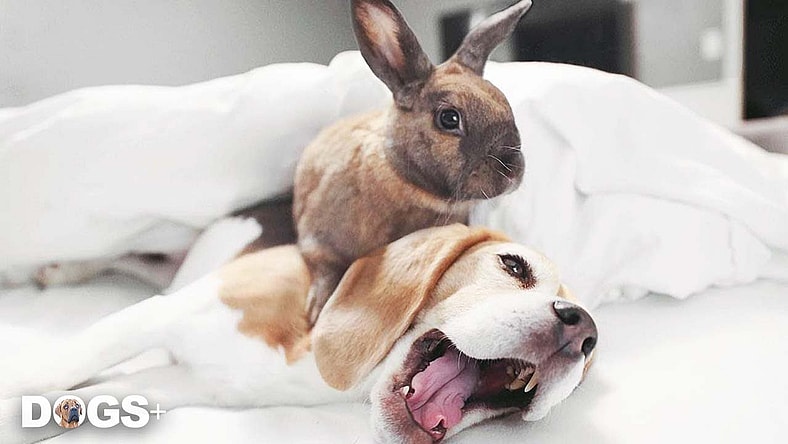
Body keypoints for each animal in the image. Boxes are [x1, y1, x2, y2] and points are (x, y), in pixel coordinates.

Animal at [294, 0, 532, 323]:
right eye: (449, 118)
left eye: (505, 102)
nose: (512, 169)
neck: (407, 185)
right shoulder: (318, 242)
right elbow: (324, 269)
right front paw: (316, 312)